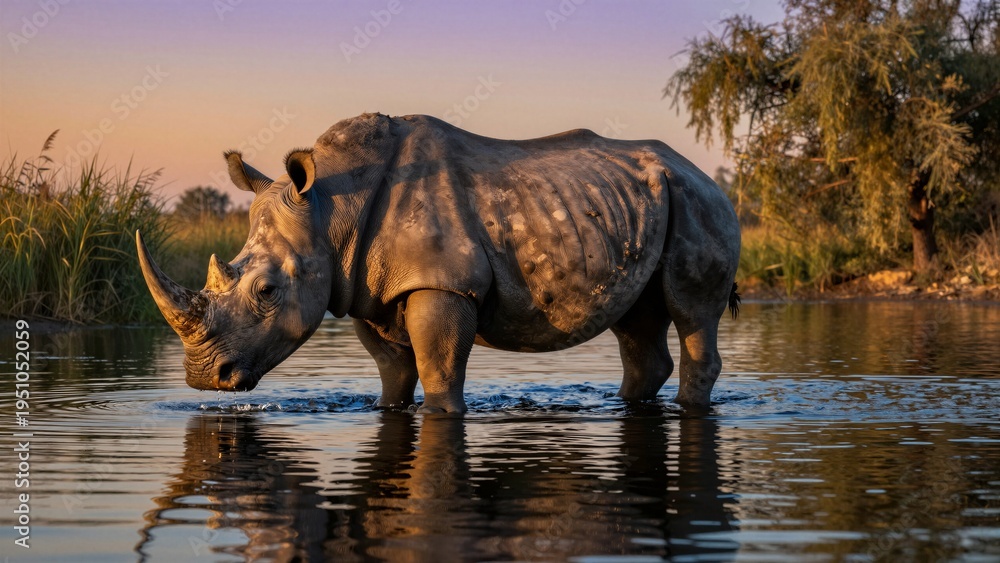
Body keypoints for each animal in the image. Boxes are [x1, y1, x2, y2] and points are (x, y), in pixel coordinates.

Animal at [137, 113, 740, 413]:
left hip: (698, 200)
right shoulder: (367, 287)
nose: (203, 379)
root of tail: (706, 175)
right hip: (641, 205)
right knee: (637, 322)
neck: (330, 210)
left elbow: (439, 370)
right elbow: (394, 371)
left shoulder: (443, 283)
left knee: (692, 312)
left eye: (265, 290)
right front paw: (389, 408)